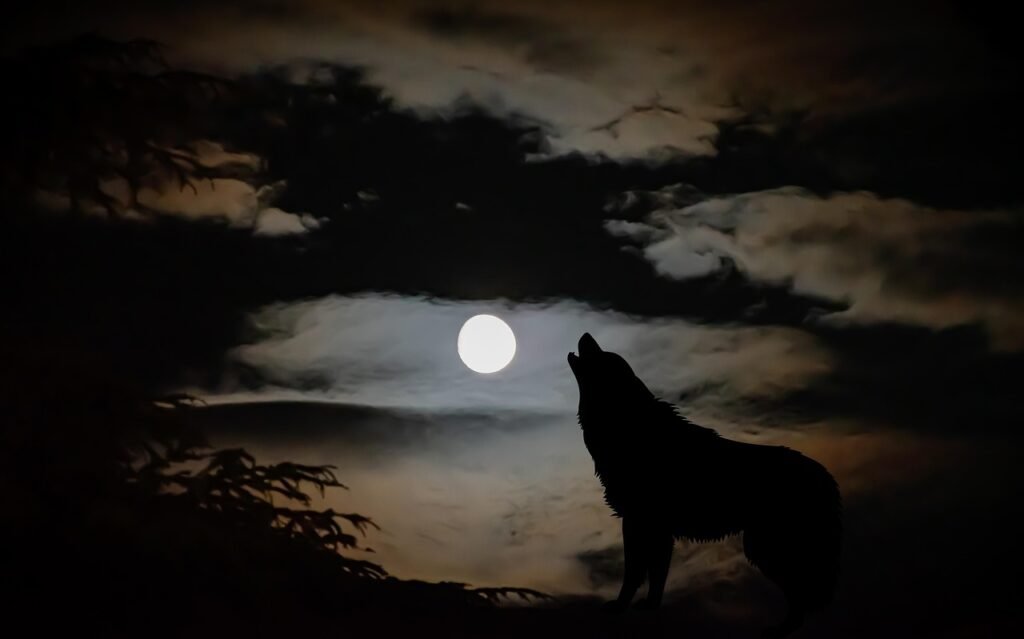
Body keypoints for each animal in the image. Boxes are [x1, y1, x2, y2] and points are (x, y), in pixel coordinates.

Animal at [568, 333, 841, 637]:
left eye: (604, 356)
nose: (586, 335)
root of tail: (826, 477)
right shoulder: (659, 530)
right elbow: (657, 576)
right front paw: (650, 607)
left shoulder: (638, 522)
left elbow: (633, 573)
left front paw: (618, 607)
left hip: (763, 548)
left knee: (800, 597)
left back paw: (778, 630)